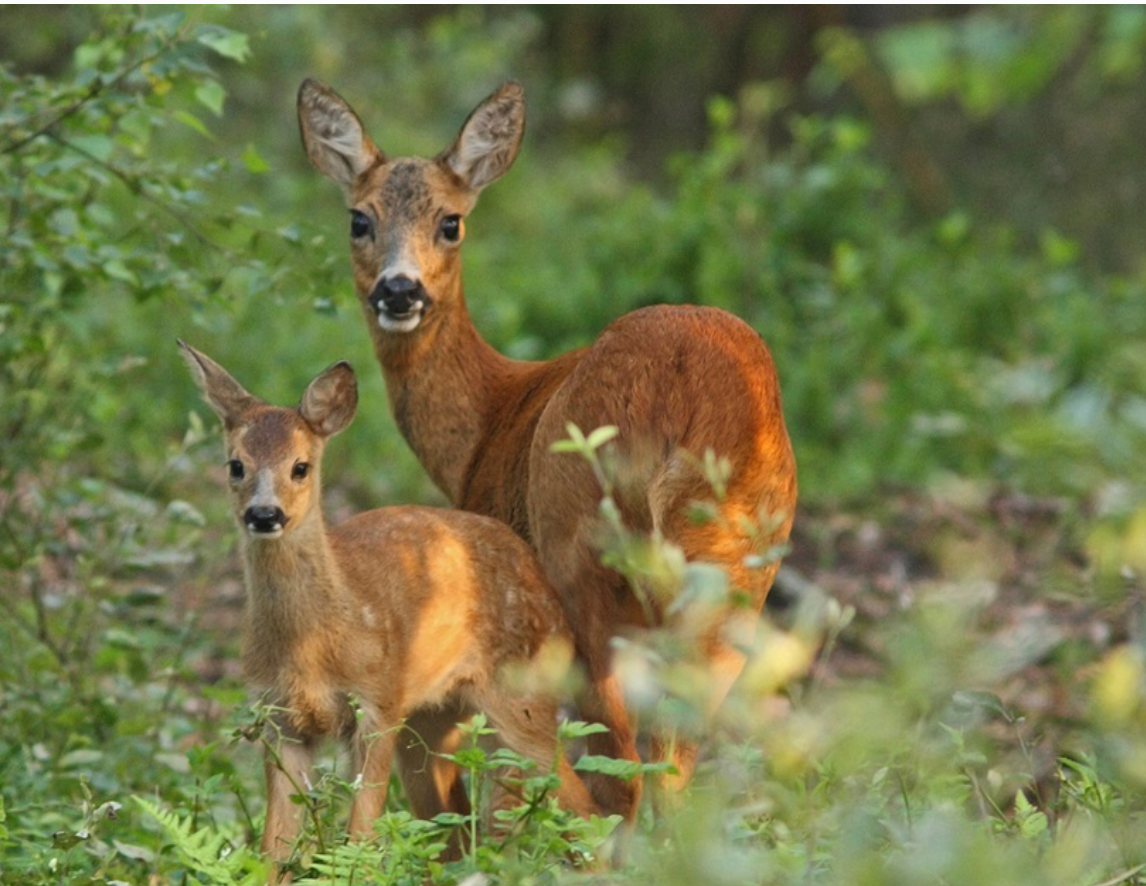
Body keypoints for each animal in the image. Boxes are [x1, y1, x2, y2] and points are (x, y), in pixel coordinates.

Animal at [178, 341, 600, 875]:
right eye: (235, 465)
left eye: (300, 466)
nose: (265, 514)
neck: (314, 643)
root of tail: (539, 573)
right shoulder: (277, 718)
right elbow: (274, 849)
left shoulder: (376, 703)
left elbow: (359, 837)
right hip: (431, 720)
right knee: (453, 827)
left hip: (523, 696)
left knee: (580, 805)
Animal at [295, 79, 797, 820]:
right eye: (359, 219)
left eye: (451, 221)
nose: (399, 289)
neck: (488, 422)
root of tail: (680, 400)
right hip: (741, 571)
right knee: (672, 772)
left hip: (579, 557)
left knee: (622, 776)